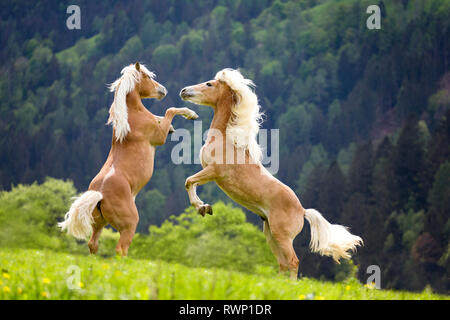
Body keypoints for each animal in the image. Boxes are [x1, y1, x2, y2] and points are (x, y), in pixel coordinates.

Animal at [59, 62, 197, 256]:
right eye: (147, 77)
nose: (163, 90)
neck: (132, 116)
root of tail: (99, 194)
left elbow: (162, 117)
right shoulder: (158, 137)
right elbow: (169, 111)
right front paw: (190, 113)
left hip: (99, 223)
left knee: (93, 244)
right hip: (129, 224)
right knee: (120, 248)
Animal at [179, 69, 362, 278]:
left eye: (209, 84)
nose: (184, 91)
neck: (227, 139)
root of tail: (302, 210)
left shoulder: (213, 172)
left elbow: (189, 181)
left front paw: (202, 207)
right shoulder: (210, 173)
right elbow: (192, 183)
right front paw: (204, 207)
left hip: (282, 236)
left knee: (293, 261)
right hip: (270, 234)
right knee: (283, 264)